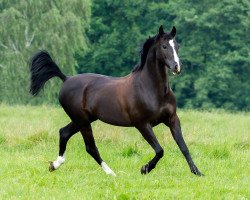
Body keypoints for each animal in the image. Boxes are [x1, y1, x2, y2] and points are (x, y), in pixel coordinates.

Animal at [29, 25, 203, 177]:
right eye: (164, 46)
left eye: (177, 46)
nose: (177, 67)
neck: (151, 89)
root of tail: (66, 79)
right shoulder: (142, 124)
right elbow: (160, 150)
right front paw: (145, 169)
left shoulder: (172, 119)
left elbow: (183, 147)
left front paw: (197, 172)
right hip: (82, 121)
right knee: (91, 147)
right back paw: (111, 173)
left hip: (83, 119)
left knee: (64, 133)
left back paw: (54, 165)